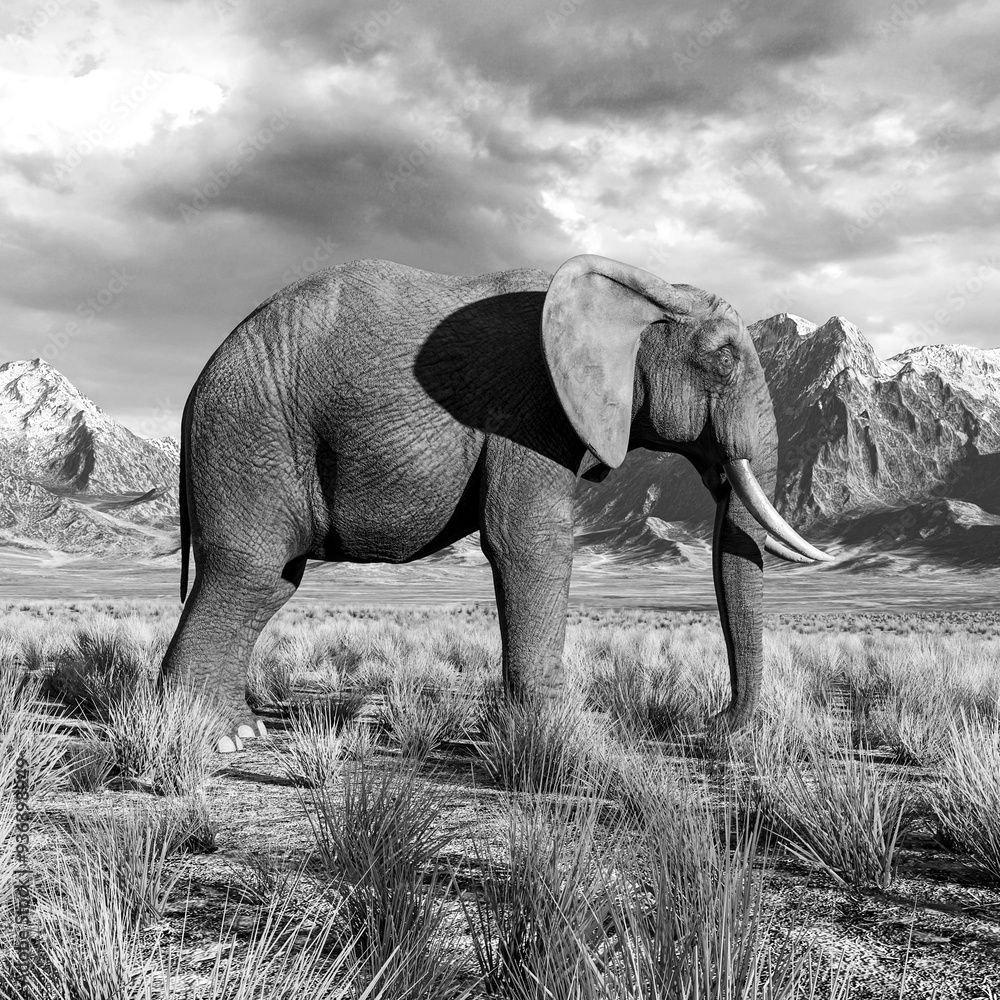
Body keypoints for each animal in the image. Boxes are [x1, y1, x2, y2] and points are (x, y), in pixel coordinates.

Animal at [158, 254, 830, 749]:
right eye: (724, 357)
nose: (710, 725)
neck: (641, 290)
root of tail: (194, 386)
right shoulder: (528, 408)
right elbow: (528, 541)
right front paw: (560, 735)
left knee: (271, 583)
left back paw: (241, 731)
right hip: (250, 432)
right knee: (250, 572)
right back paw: (219, 739)